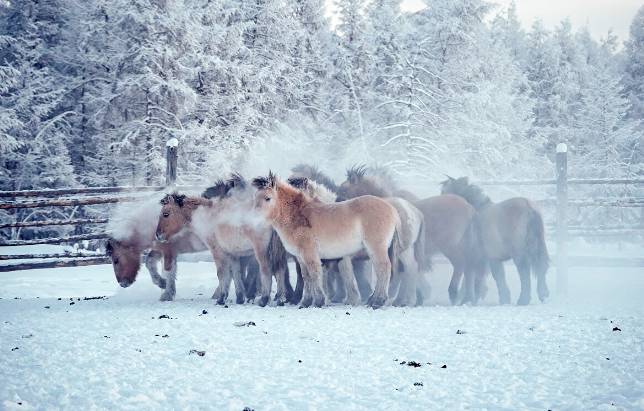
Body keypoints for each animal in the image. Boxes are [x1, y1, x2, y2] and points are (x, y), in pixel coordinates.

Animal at [156, 175, 292, 308]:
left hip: (261, 250)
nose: (158, 235)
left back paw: (264, 299)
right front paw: (239, 297)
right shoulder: (232, 253)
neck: (207, 215)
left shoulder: (217, 250)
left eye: (166, 214)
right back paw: (281, 298)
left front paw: (221, 298)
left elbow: (222, 273)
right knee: (281, 270)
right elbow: (236, 273)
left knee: (266, 270)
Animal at [253, 172, 400, 310]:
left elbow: (315, 275)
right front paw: (306, 302)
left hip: (376, 248)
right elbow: (306, 277)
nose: (255, 220)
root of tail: (392, 209)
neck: (298, 216)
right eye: (255, 198)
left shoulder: (310, 255)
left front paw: (318, 301)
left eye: (268, 198)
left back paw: (378, 302)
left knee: (384, 268)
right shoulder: (301, 257)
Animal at [440, 177, 552, 306]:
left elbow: (490, 276)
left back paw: (523, 299)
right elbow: (495, 275)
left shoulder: (484, 256)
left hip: (518, 253)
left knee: (524, 271)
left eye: (444, 193)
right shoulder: (491, 257)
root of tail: (529, 207)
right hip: (537, 246)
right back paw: (543, 295)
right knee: (541, 266)